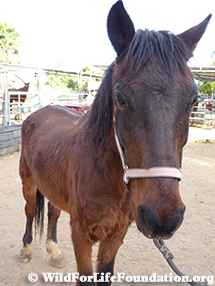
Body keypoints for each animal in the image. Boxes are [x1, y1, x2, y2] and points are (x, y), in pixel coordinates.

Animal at [18, 1, 212, 284]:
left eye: (194, 100)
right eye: (120, 99)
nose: (162, 218)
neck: (106, 177)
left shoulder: (115, 235)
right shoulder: (82, 234)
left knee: (53, 213)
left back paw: (54, 251)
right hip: (29, 183)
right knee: (31, 211)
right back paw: (26, 249)